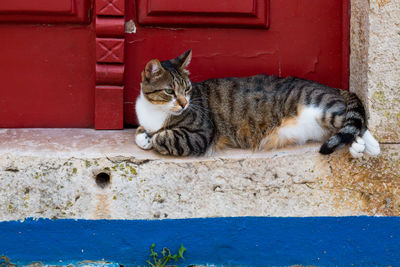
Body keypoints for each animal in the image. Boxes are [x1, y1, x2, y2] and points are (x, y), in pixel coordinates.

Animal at [135, 50, 382, 158]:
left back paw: (372, 146)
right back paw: (360, 147)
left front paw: (154, 138)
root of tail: (336, 88)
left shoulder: (200, 134)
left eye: (186, 89)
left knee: (356, 122)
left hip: (324, 109)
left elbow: (163, 137)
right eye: (170, 91)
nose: (184, 104)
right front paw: (143, 136)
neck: (155, 110)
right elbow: (140, 132)